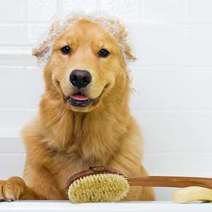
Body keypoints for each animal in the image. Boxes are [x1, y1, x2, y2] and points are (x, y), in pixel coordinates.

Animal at [0, 15, 154, 201]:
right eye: (66, 49)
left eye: (103, 52)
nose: (80, 77)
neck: (79, 143)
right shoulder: (41, 192)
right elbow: (23, 183)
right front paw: (7, 184)